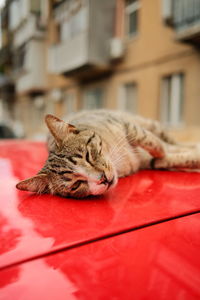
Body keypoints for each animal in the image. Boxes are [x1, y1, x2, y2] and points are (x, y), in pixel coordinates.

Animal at [16, 109, 200, 198]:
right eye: (76, 185)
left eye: (88, 156)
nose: (103, 179)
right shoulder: (148, 162)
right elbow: (169, 159)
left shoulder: (124, 124)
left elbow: (147, 139)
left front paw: (161, 150)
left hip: (148, 123)